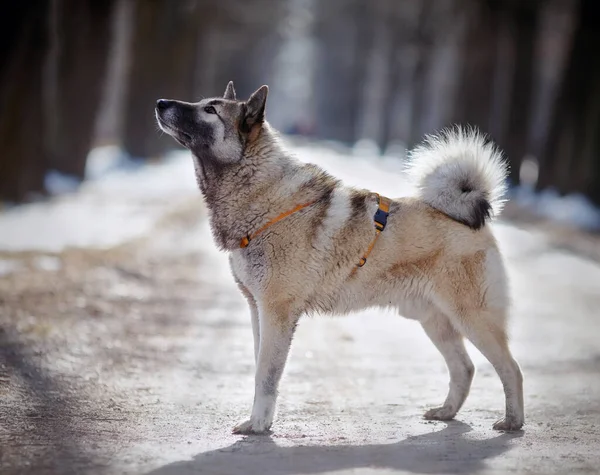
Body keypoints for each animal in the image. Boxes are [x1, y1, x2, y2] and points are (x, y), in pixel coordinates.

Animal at [156, 82, 524, 436]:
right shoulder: (256, 309)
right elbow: (261, 368)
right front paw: (261, 421)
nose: (160, 102)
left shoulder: (276, 312)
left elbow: (266, 375)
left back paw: (512, 422)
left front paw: (258, 425)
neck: (266, 199)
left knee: (511, 369)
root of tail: (468, 218)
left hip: (472, 317)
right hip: (433, 321)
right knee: (464, 367)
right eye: (204, 103)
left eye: (210, 110)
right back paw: (446, 412)